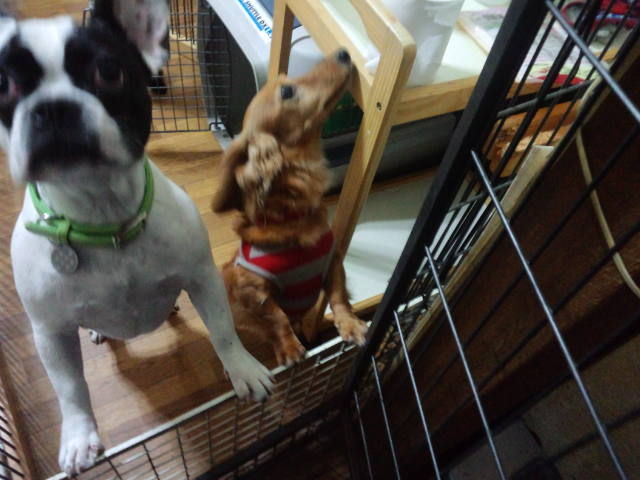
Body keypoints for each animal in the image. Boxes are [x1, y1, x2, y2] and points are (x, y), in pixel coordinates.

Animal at [1, 0, 272, 475]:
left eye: (108, 72)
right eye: (6, 85)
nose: (54, 107)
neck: (102, 216)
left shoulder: (202, 278)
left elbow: (222, 329)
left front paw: (242, 367)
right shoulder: (50, 332)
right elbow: (70, 387)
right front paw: (78, 437)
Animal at [211, 51, 368, 366]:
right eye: (287, 92)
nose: (344, 53)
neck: (291, 217)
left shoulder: (333, 262)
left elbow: (338, 297)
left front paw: (350, 324)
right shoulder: (253, 289)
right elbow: (276, 317)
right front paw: (289, 348)